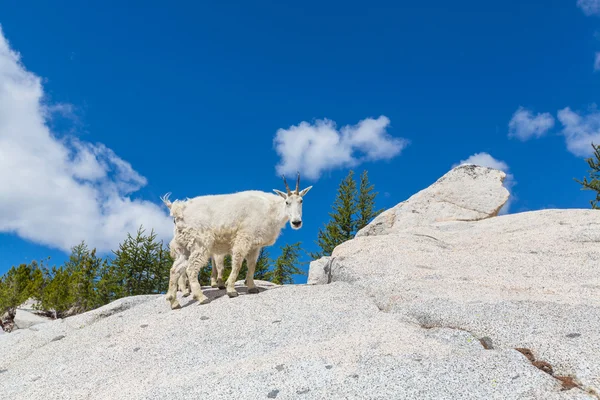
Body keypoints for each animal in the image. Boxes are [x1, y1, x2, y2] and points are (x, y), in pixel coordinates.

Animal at [164, 173, 314, 308]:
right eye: (287, 202)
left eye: (301, 201)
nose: (296, 222)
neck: (270, 210)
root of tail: (179, 211)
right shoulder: (244, 237)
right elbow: (237, 263)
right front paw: (230, 289)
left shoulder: (255, 245)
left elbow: (252, 265)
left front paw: (252, 287)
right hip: (200, 243)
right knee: (190, 269)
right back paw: (201, 297)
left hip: (185, 247)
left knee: (175, 269)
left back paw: (174, 302)